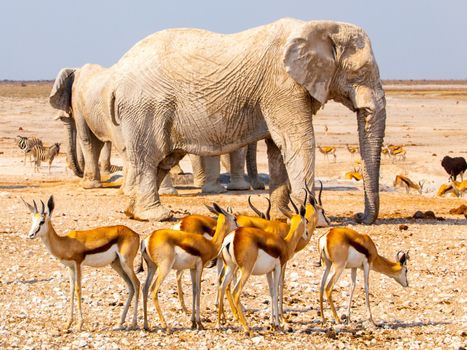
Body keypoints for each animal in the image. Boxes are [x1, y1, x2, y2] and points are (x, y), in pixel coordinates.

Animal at [21, 197, 141, 330]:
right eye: (33, 220)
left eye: (42, 221)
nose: (31, 235)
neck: (65, 243)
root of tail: (136, 234)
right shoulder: (70, 267)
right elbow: (71, 290)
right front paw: (68, 323)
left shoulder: (78, 264)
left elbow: (78, 289)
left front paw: (79, 324)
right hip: (116, 265)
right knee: (130, 286)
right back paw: (120, 322)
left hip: (126, 263)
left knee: (137, 284)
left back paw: (133, 323)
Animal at [50, 17, 388, 223]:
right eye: (360, 72)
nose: (359, 217)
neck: (318, 26)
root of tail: (117, 76)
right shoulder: (282, 85)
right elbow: (297, 141)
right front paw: (318, 222)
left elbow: (278, 149)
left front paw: (281, 218)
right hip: (145, 108)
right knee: (148, 156)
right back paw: (157, 216)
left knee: (161, 159)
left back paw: (133, 211)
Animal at [140, 202, 238, 330]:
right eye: (235, 218)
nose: (239, 229)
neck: (210, 244)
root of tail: (148, 239)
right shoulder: (200, 267)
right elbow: (198, 289)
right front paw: (199, 323)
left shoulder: (192, 269)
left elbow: (193, 290)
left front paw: (193, 322)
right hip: (164, 268)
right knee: (153, 289)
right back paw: (165, 326)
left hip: (152, 268)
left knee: (145, 288)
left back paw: (146, 325)